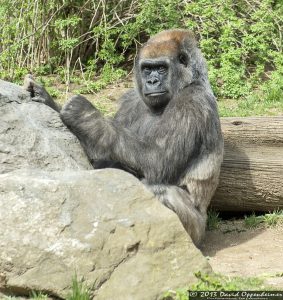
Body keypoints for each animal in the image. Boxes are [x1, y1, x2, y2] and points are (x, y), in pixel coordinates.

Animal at [24, 28, 224, 246]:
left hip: (198, 230)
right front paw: (48, 100)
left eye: (162, 68)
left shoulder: (192, 103)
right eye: (147, 69)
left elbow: (158, 160)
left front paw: (87, 116)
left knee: (158, 190)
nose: (152, 82)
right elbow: (105, 157)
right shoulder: (130, 99)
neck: (188, 82)